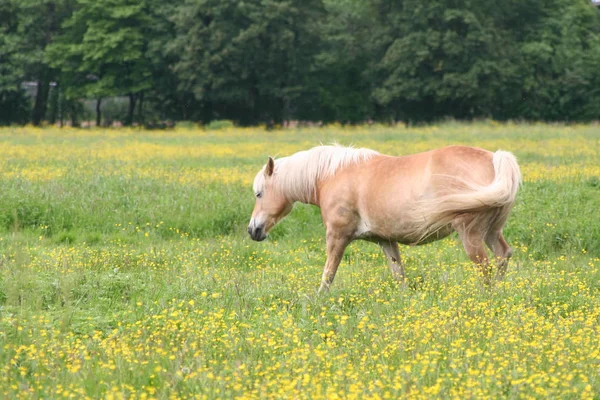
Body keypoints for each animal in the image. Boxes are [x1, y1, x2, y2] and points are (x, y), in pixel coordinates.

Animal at [248, 144, 520, 290]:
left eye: (259, 193)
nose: (253, 230)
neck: (332, 175)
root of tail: (494, 159)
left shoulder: (337, 236)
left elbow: (329, 273)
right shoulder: (386, 240)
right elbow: (398, 273)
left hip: (470, 234)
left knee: (485, 267)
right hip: (491, 232)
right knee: (502, 255)